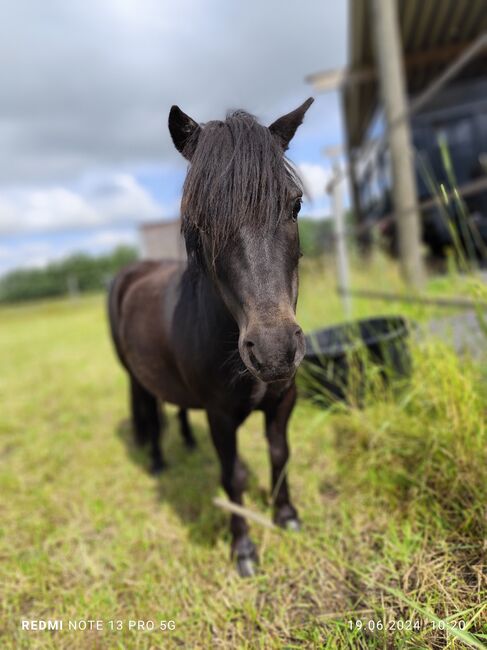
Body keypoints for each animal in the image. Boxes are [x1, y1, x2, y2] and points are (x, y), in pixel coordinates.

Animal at [109, 96, 316, 572]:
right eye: (200, 221)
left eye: (295, 204)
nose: (275, 351)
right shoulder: (221, 416)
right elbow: (232, 474)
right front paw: (244, 549)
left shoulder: (284, 402)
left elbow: (280, 454)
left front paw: (287, 516)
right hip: (133, 374)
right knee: (149, 411)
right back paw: (158, 461)